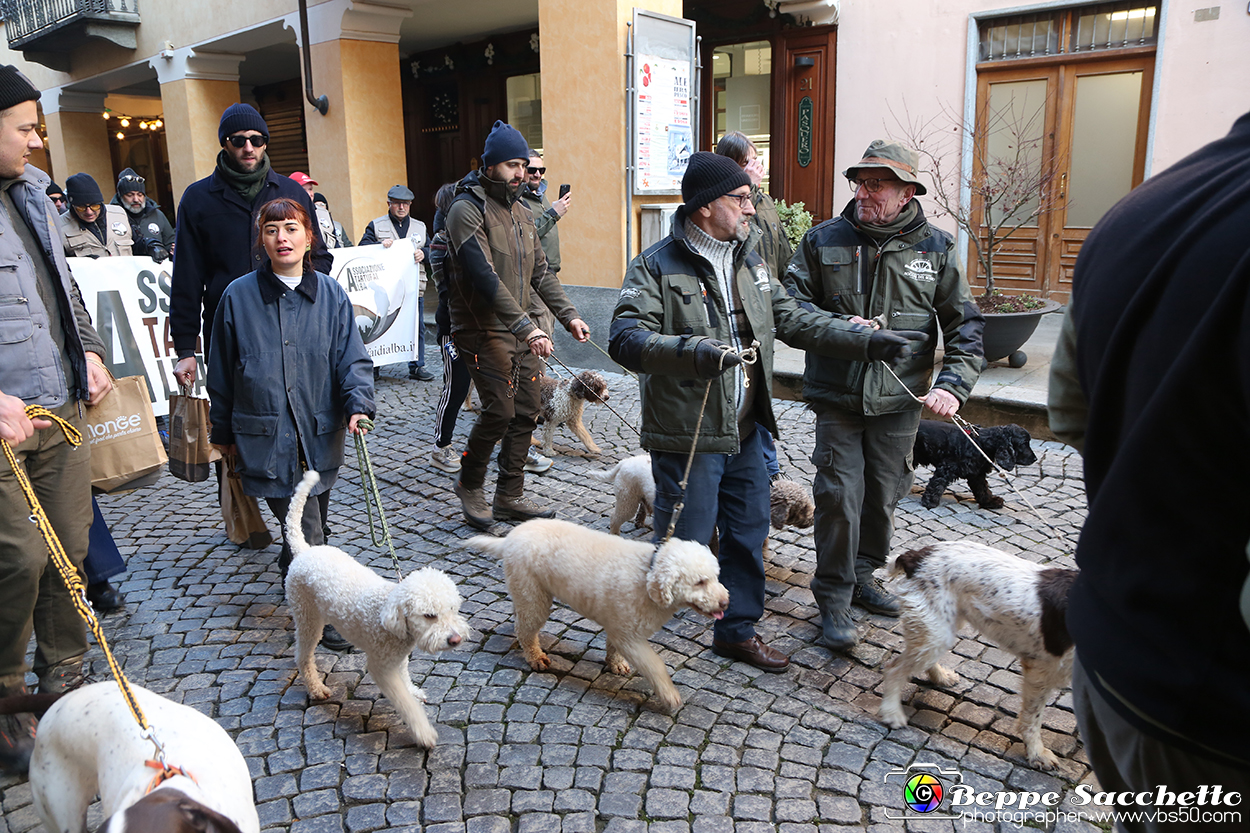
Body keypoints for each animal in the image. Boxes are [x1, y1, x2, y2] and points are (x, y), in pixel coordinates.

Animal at [286, 467, 470, 745]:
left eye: (452, 609)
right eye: (429, 615)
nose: (455, 640)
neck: (389, 614)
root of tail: (304, 550)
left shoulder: (397, 660)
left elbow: (405, 679)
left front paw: (413, 691)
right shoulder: (381, 667)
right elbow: (404, 703)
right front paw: (423, 731)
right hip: (307, 616)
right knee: (303, 656)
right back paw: (316, 688)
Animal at [470, 520, 730, 705]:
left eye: (715, 576)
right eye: (699, 582)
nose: (726, 602)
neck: (646, 577)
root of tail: (509, 538)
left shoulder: (619, 626)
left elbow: (613, 648)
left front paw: (616, 665)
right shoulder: (630, 637)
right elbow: (654, 665)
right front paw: (669, 696)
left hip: (526, 590)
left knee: (520, 615)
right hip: (534, 595)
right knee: (526, 629)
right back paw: (535, 656)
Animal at [875, 537, 1080, 765]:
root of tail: (918, 555)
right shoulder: (1041, 668)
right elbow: (1032, 717)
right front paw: (1037, 753)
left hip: (942, 627)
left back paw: (941, 677)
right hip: (936, 630)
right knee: (894, 669)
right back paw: (892, 712)